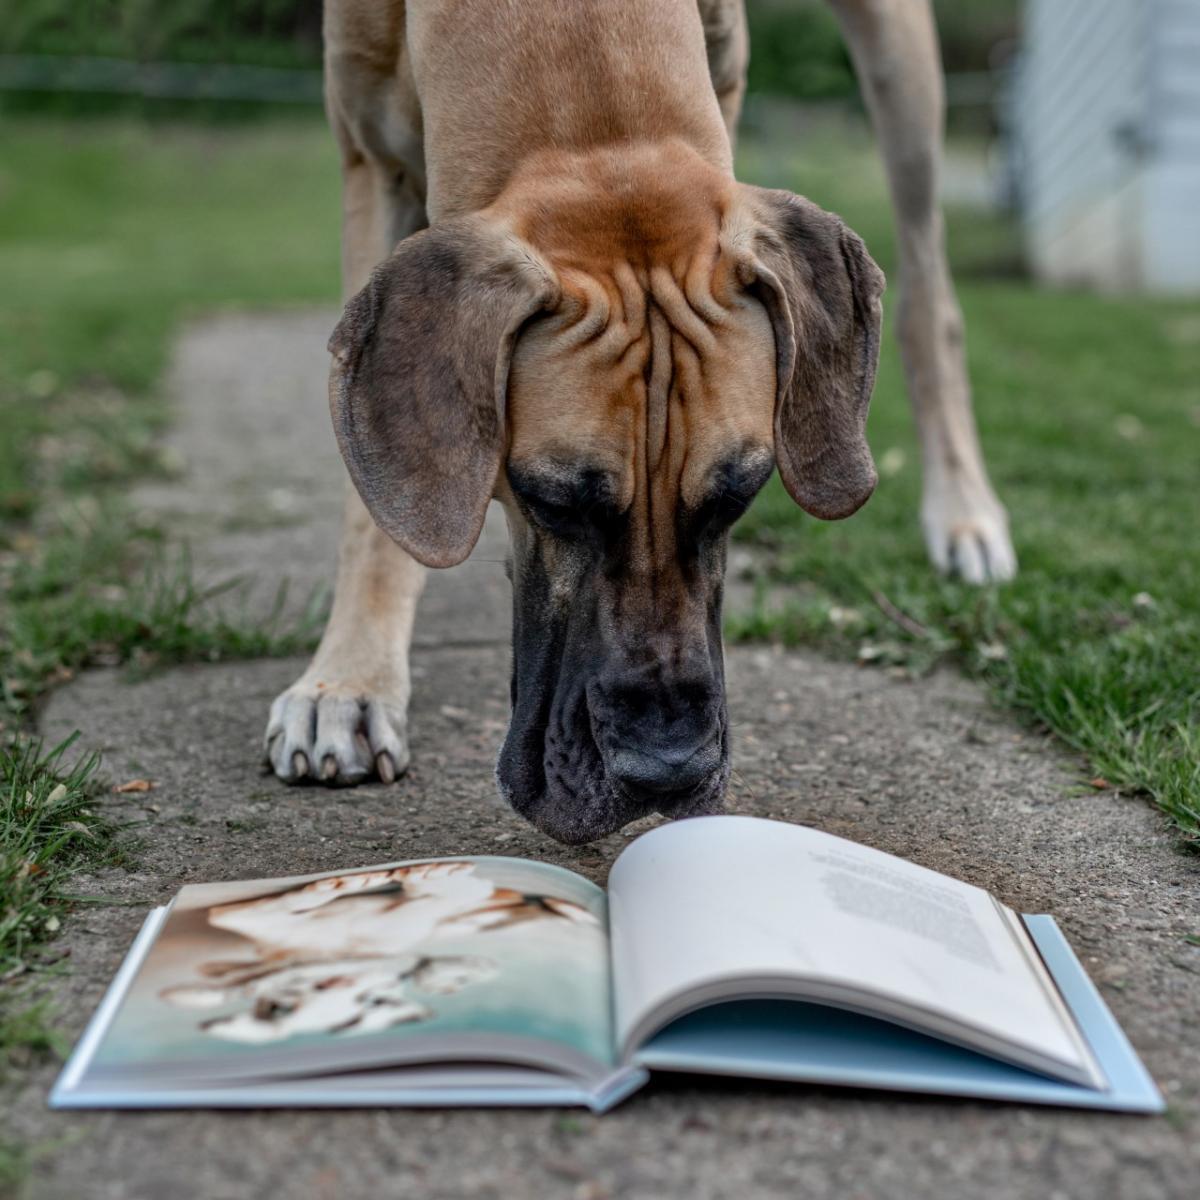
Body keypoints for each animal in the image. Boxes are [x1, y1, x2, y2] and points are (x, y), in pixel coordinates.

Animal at [260, 0, 1012, 844]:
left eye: (738, 496)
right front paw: (350, 681)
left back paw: (965, 516)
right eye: (553, 503)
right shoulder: (372, 159)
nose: (666, 769)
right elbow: (374, 504)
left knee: (928, 294)